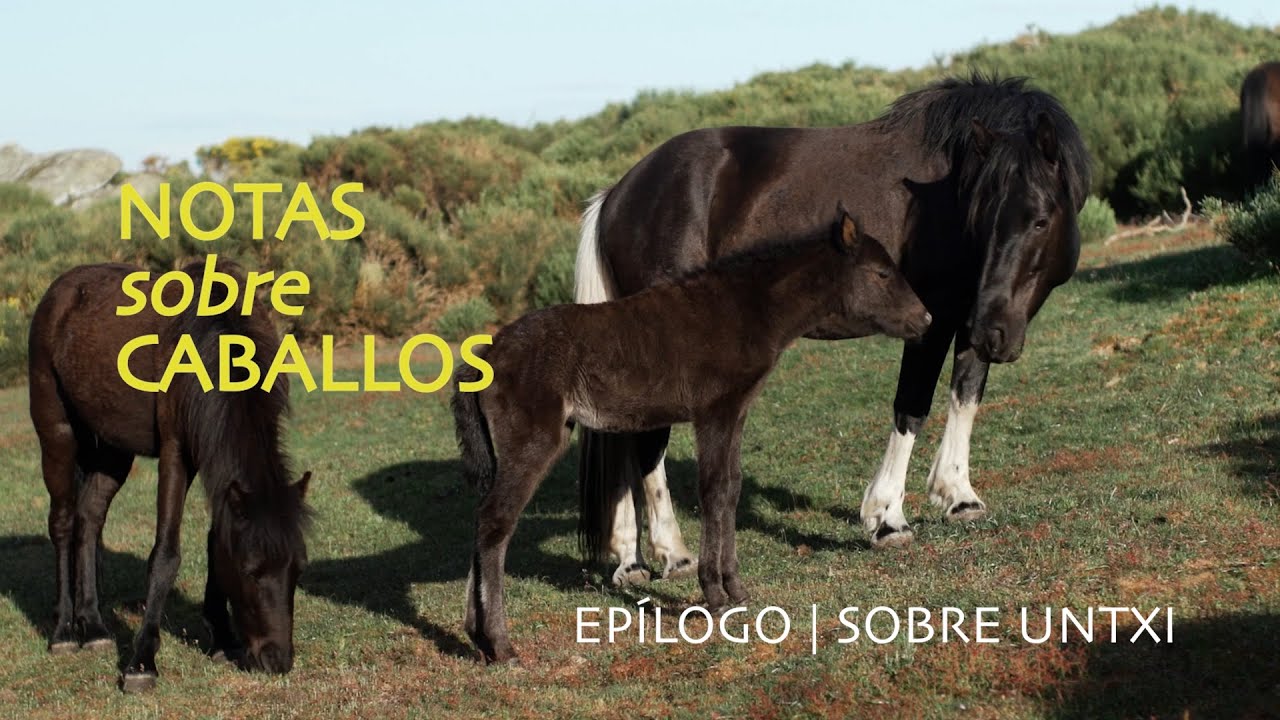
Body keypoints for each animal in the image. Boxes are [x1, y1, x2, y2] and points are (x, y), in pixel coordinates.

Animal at [28, 258, 311, 692]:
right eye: (250, 571)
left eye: (298, 569)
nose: (277, 660)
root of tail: (59, 291)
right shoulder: (176, 452)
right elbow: (165, 554)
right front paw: (141, 662)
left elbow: (216, 540)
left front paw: (223, 638)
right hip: (56, 432)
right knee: (62, 523)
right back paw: (63, 632)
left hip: (113, 449)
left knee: (89, 519)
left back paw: (93, 627)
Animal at [453, 210, 931, 662]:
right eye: (882, 274)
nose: (925, 319)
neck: (747, 309)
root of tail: (487, 353)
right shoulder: (714, 413)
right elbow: (714, 491)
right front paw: (715, 595)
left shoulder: (736, 413)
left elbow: (731, 489)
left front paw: (736, 589)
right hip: (534, 441)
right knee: (495, 522)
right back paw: (501, 645)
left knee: (482, 518)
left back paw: (477, 637)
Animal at [573, 74, 1091, 585]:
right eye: (984, 217)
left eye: (1040, 219)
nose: (996, 334)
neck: (943, 198)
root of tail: (617, 194)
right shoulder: (931, 322)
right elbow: (912, 407)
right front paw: (887, 518)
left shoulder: (969, 316)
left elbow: (966, 394)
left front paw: (959, 495)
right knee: (645, 441)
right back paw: (672, 552)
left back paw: (630, 561)